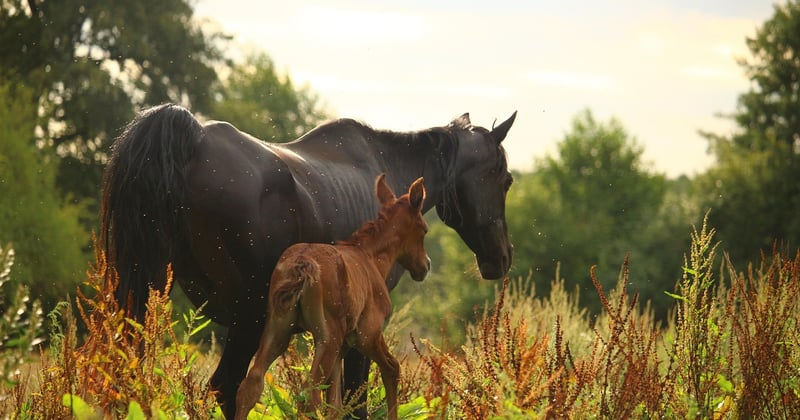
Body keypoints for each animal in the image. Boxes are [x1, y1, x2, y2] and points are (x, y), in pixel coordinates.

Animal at [235, 174, 429, 419]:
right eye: (424, 229)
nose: (425, 266)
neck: (370, 258)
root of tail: (302, 263)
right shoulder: (367, 335)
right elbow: (392, 367)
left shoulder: (342, 349)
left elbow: (335, 404)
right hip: (328, 336)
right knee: (309, 395)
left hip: (278, 328)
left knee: (251, 383)